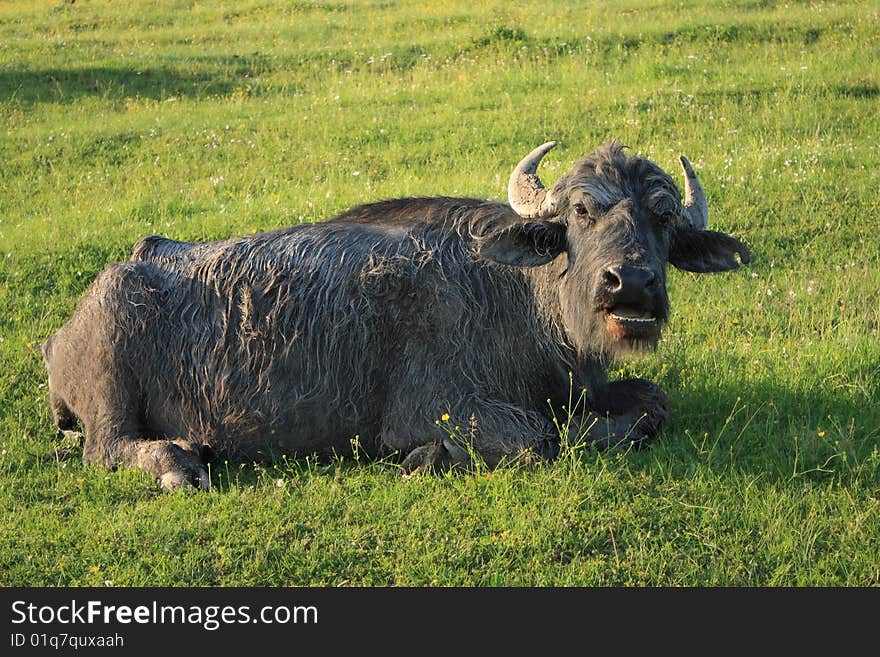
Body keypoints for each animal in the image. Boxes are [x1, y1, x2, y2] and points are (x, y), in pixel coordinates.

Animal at [43, 141, 748, 486]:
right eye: (581, 211)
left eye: (663, 217)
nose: (631, 281)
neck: (522, 305)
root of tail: (62, 334)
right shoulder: (436, 408)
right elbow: (537, 438)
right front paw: (430, 459)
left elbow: (653, 402)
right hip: (112, 379)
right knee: (105, 449)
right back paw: (177, 464)